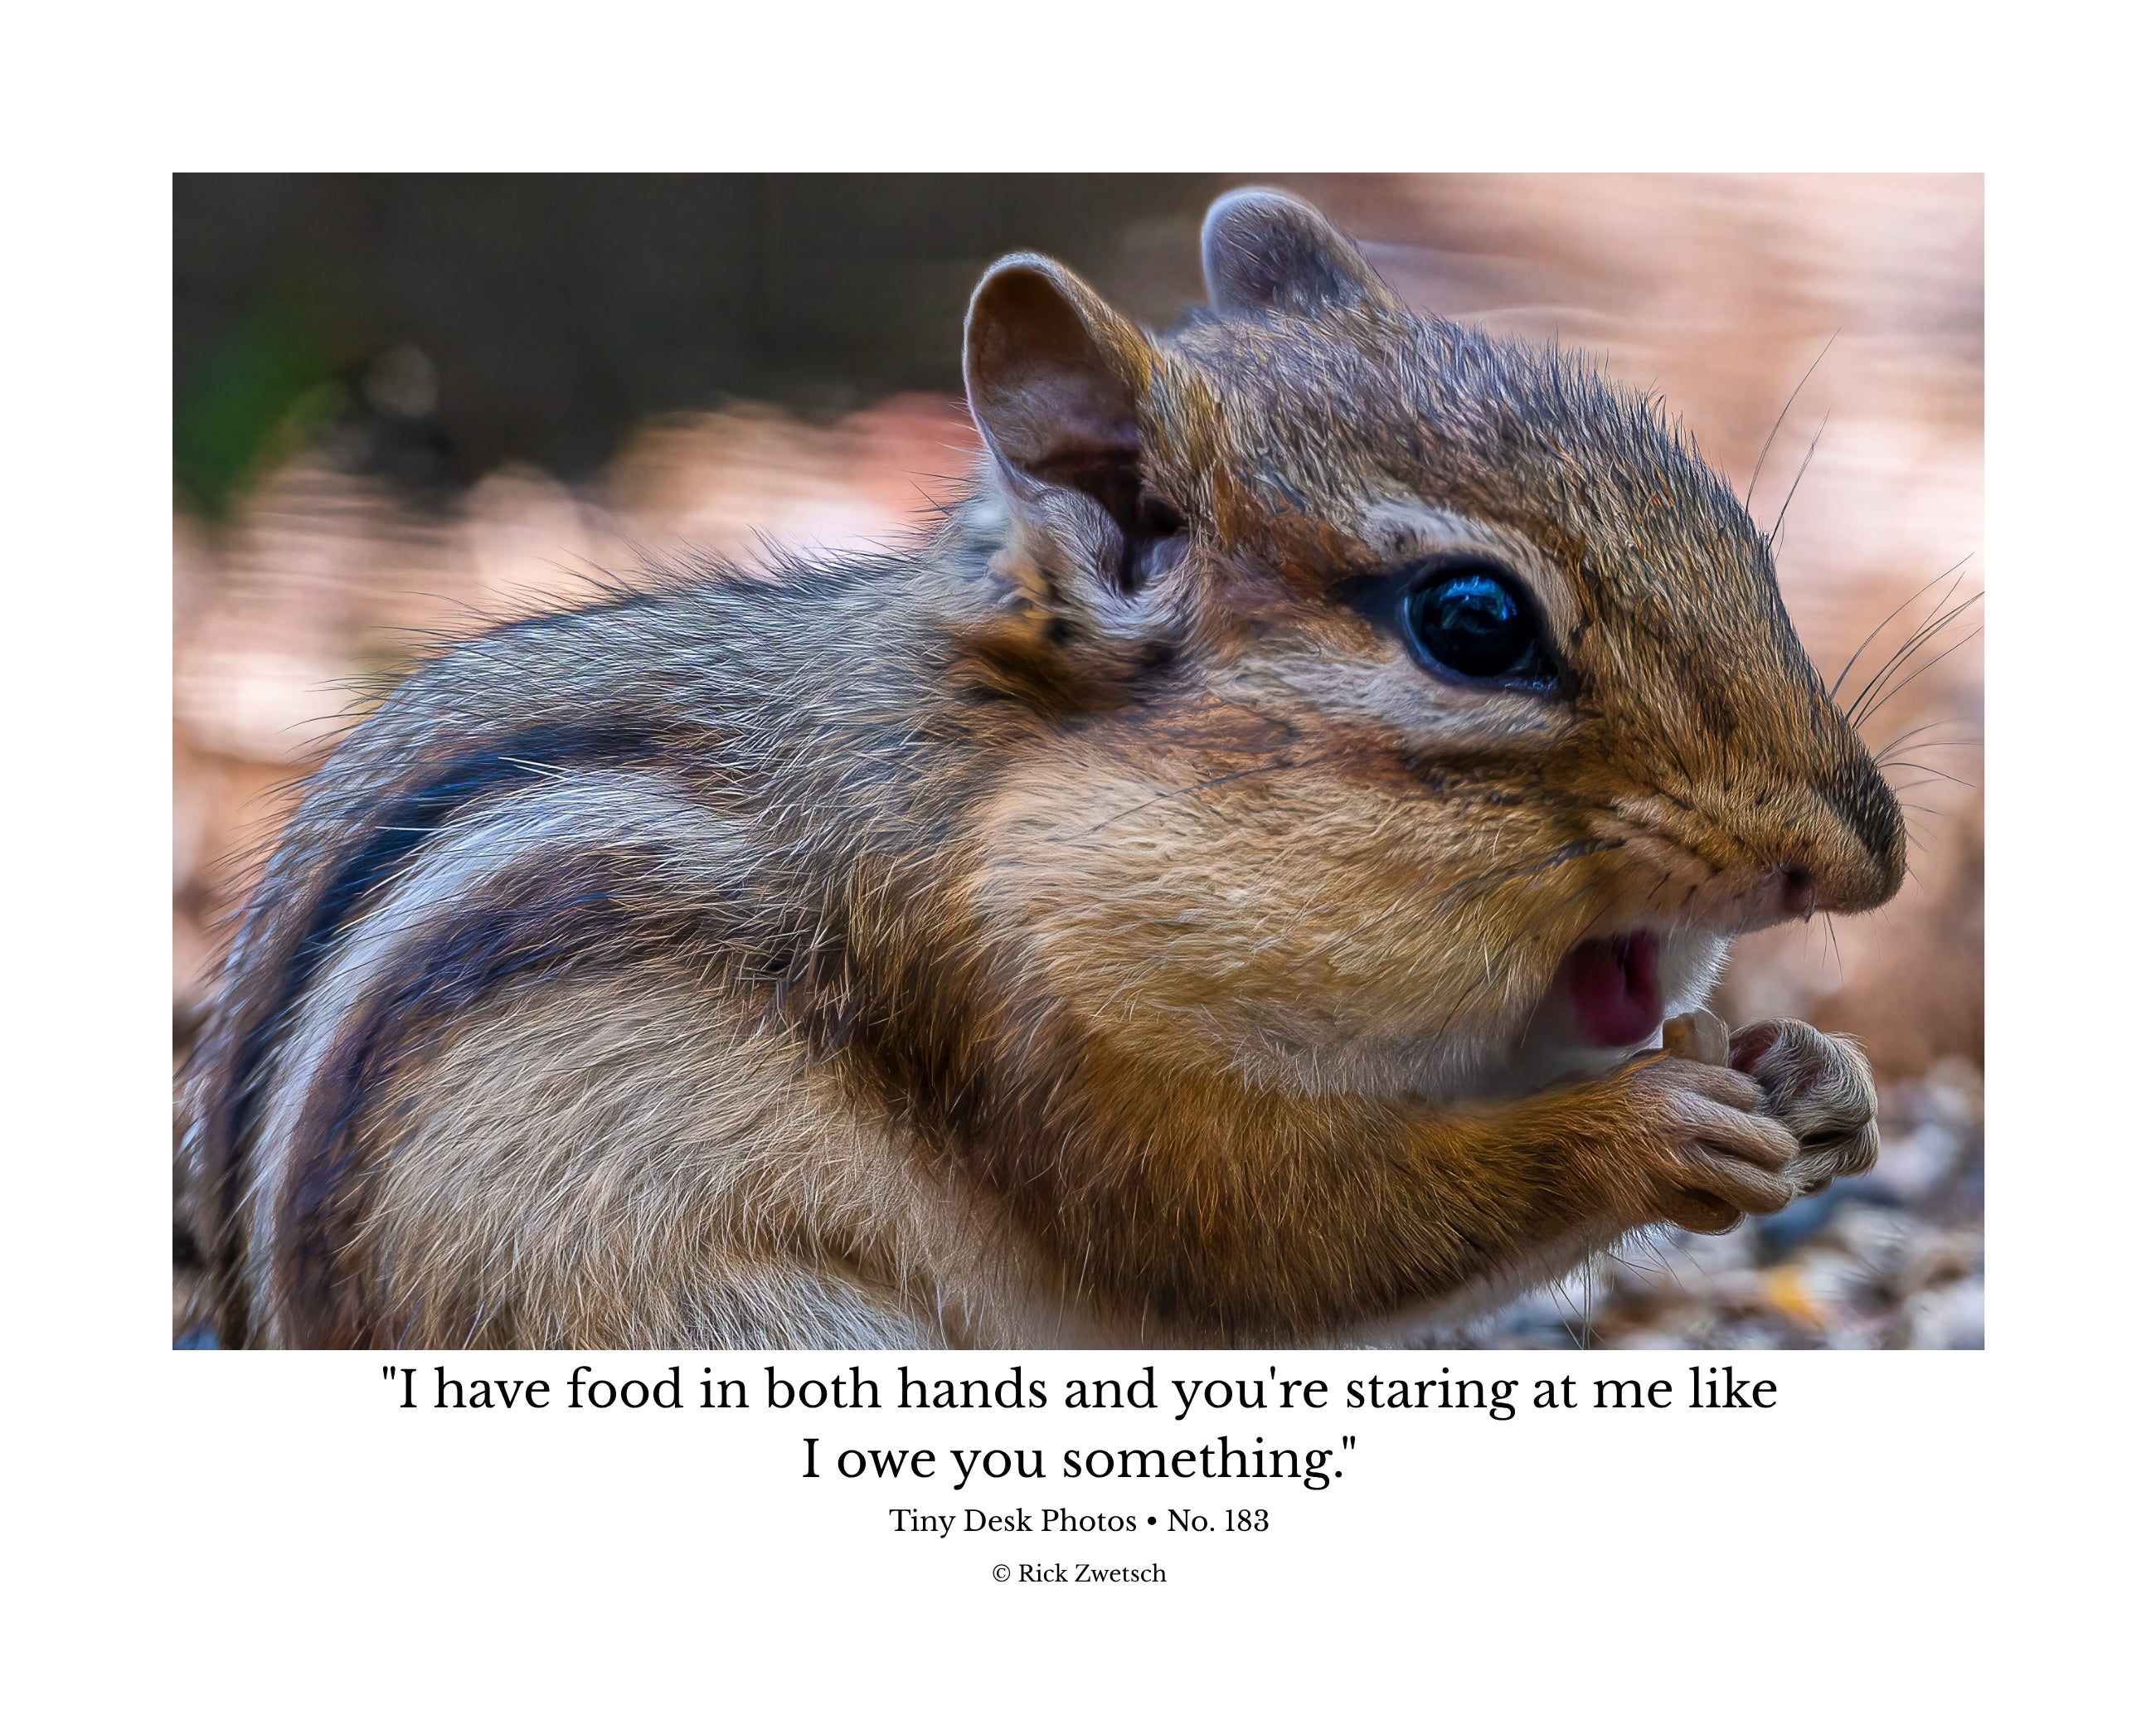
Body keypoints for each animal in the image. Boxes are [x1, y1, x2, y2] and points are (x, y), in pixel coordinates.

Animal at [181, 189, 1900, 1349]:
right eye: (1472, 624)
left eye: (1738, 528)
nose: (1865, 855)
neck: (1045, 809)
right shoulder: (1016, 1025)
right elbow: (1279, 1235)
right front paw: (1649, 1128)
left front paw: (1821, 1074)